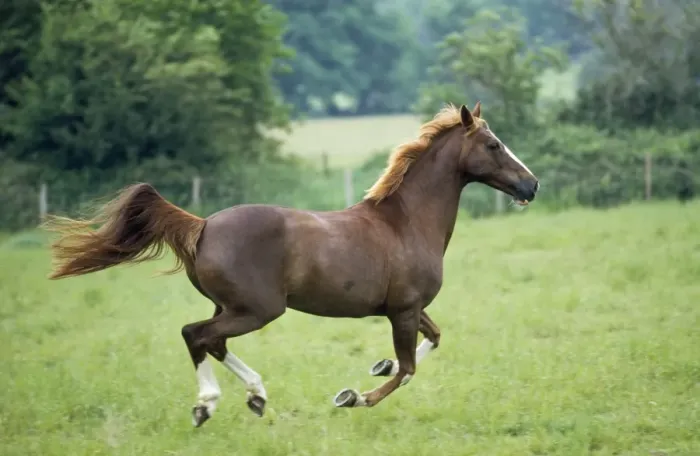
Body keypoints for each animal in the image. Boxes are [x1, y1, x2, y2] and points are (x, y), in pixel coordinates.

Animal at [43, 102, 539, 428]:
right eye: (493, 144)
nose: (531, 185)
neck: (407, 222)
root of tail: (202, 226)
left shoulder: (410, 309)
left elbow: (433, 340)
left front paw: (374, 368)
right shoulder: (403, 310)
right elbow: (408, 369)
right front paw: (352, 397)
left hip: (232, 308)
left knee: (210, 341)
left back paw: (255, 398)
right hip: (258, 309)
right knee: (195, 335)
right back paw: (208, 404)